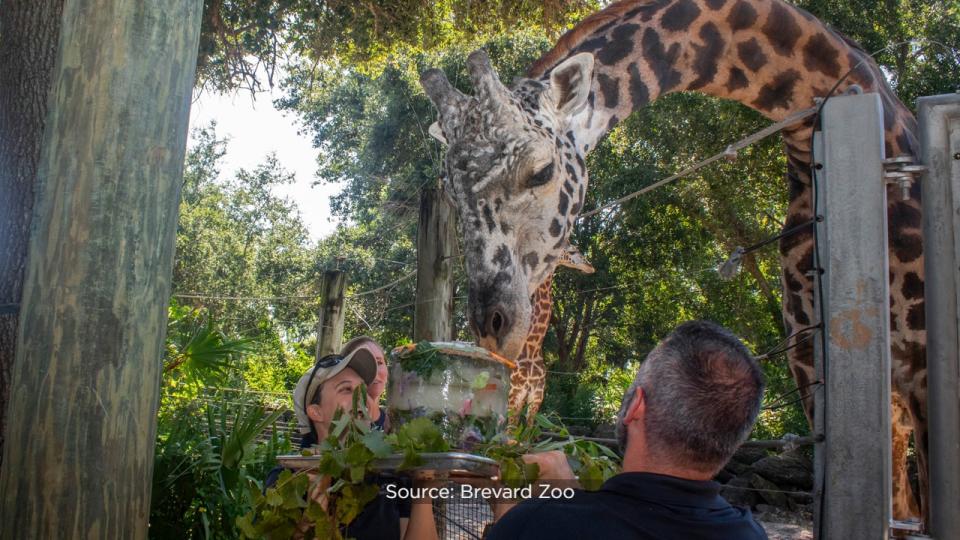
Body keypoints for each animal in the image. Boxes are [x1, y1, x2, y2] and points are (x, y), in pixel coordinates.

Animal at [510, 249, 592, 426]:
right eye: (573, 250)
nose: (590, 266)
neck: (533, 347)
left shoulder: (536, 397)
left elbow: (528, 432)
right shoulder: (514, 393)